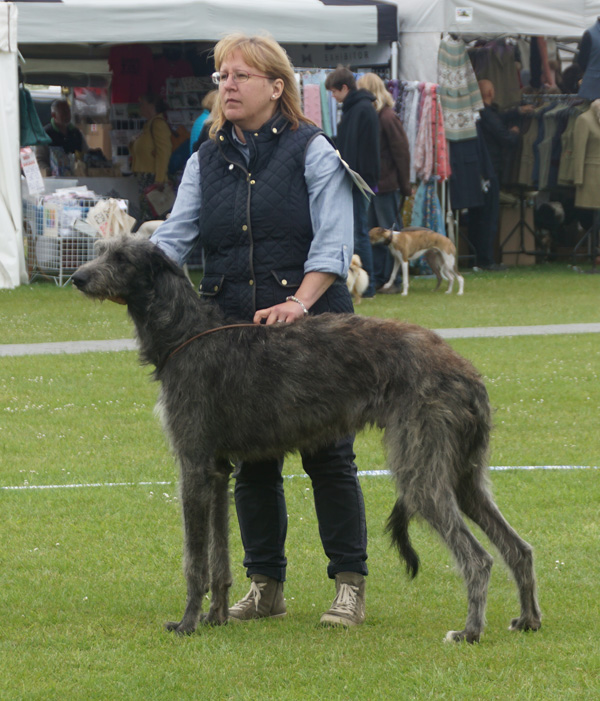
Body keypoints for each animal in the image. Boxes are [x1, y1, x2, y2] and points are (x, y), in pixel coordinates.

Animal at [72, 238, 540, 644]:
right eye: (99, 250)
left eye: (121, 258)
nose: (77, 277)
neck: (187, 333)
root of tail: (468, 373)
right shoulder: (217, 470)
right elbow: (219, 557)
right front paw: (216, 617)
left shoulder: (193, 465)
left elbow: (195, 561)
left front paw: (187, 623)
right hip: (464, 473)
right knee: (518, 548)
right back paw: (528, 619)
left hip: (420, 469)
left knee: (478, 559)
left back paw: (470, 631)